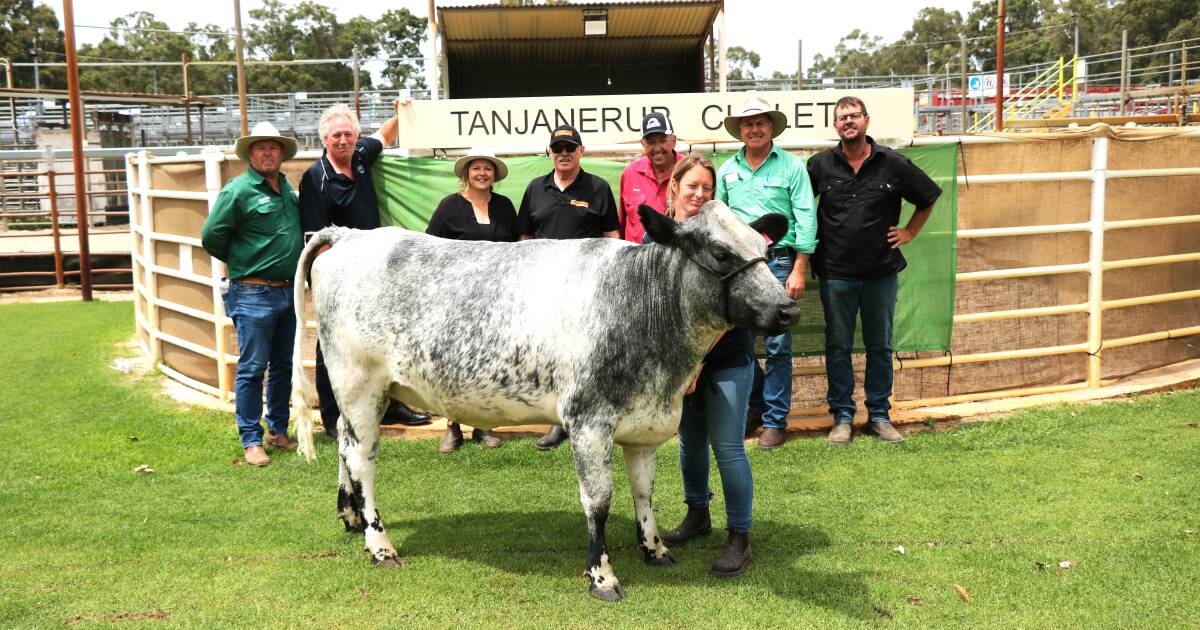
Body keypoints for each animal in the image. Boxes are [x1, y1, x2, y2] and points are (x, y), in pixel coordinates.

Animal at [288, 201, 796, 600]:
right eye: (721, 252)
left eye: (766, 248)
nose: (788, 308)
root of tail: (352, 235)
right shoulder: (588, 419)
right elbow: (598, 500)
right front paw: (602, 577)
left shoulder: (644, 422)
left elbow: (644, 490)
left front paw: (654, 549)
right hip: (359, 382)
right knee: (363, 459)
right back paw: (380, 545)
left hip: (356, 391)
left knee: (345, 447)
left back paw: (349, 516)